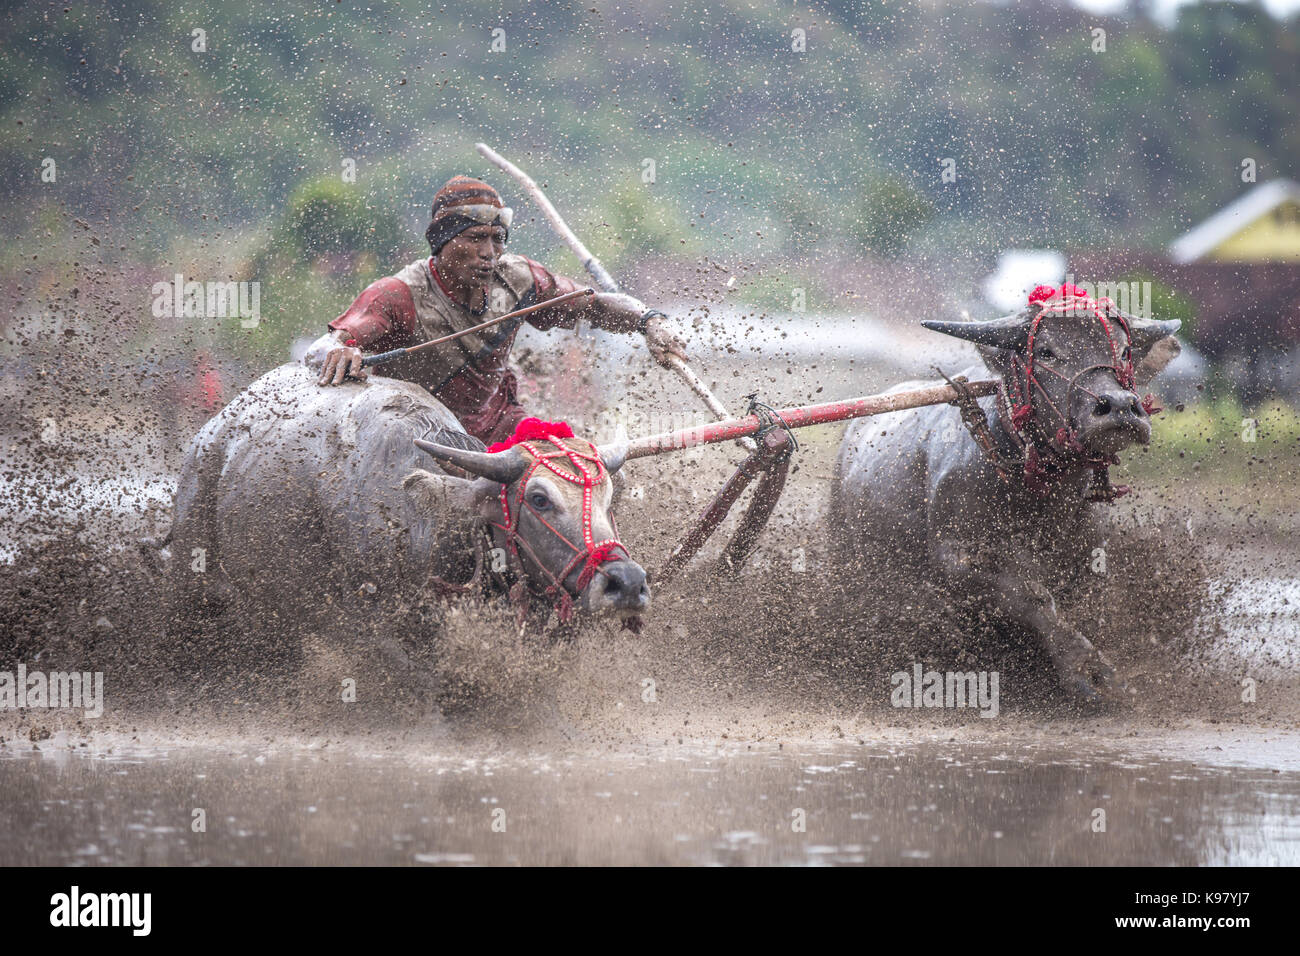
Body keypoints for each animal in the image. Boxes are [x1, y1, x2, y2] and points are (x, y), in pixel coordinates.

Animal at [165, 361, 647, 671]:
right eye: (540, 499)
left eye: (608, 500)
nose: (626, 583)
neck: (428, 526)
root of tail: (211, 436)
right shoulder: (371, 632)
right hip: (196, 585)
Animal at [837, 283, 1185, 702]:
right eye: (1047, 351)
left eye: (1123, 350)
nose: (1118, 406)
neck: (1038, 491)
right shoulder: (959, 557)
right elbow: (1031, 594)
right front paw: (1090, 671)